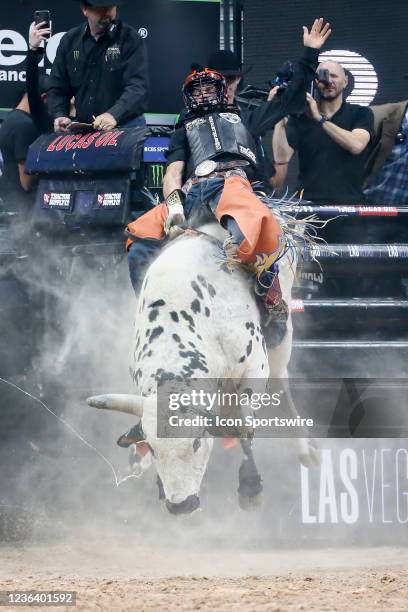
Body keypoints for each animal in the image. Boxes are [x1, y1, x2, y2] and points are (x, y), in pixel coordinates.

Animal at [87, 218, 322, 512]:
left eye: (198, 440)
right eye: (152, 446)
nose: (181, 505)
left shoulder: (255, 369)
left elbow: (245, 426)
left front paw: (250, 487)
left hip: (283, 339)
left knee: (281, 384)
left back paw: (305, 450)